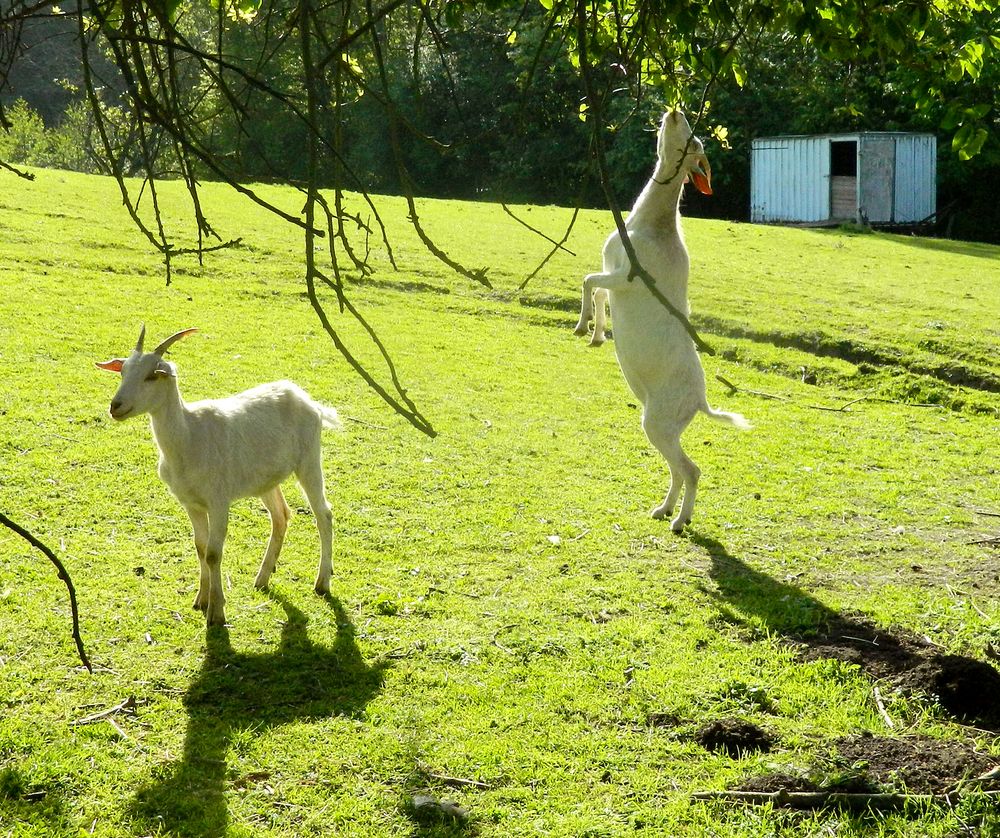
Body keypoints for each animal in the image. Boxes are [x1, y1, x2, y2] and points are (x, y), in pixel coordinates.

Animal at [97, 324, 340, 628]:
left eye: (152, 375)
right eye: (123, 371)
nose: (115, 406)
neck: (189, 436)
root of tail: (310, 402)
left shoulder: (219, 500)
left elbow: (214, 553)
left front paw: (216, 612)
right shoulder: (191, 503)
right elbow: (201, 547)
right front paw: (201, 600)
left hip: (309, 461)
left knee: (324, 515)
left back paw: (322, 582)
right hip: (266, 479)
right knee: (281, 515)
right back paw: (262, 577)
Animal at [576, 110, 748, 532]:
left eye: (695, 143)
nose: (674, 111)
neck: (648, 226)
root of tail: (701, 402)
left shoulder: (628, 276)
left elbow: (589, 281)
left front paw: (581, 324)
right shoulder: (614, 272)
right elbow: (598, 290)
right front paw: (596, 334)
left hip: (658, 422)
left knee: (692, 469)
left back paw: (679, 520)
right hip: (666, 427)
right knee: (678, 469)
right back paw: (663, 509)